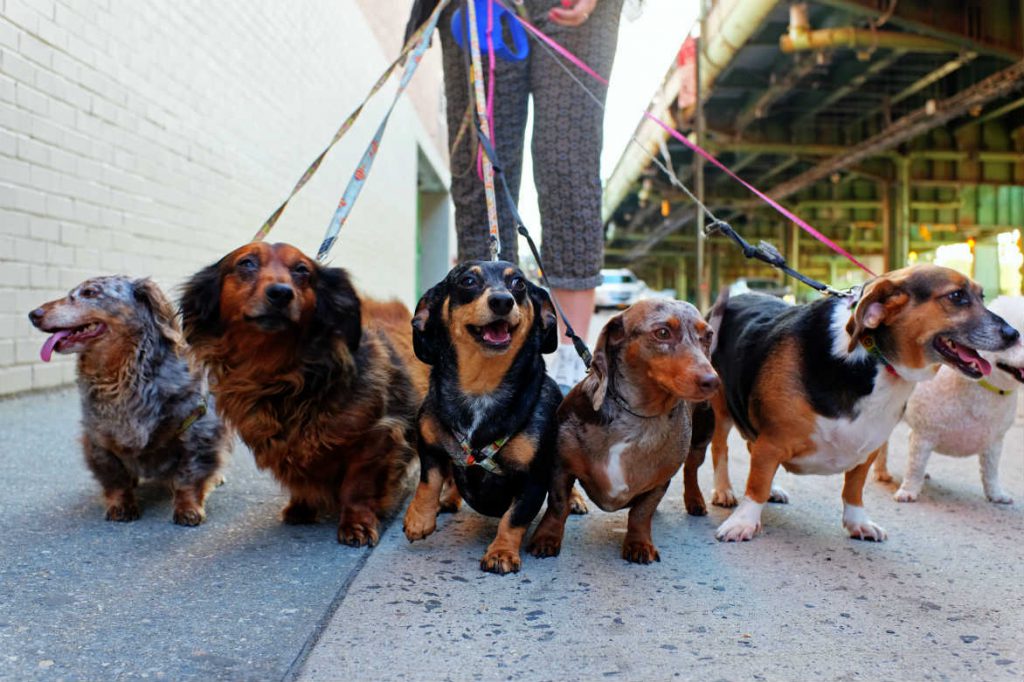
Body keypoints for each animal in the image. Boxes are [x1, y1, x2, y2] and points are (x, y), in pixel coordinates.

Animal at [872, 294, 1024, 501]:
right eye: (1015, 339)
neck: (982, 385)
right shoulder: (924, 435)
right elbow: (915, 467)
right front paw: (908, 490)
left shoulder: (994, 443)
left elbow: (991, 473)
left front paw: (996, 495)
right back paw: (881, 473)